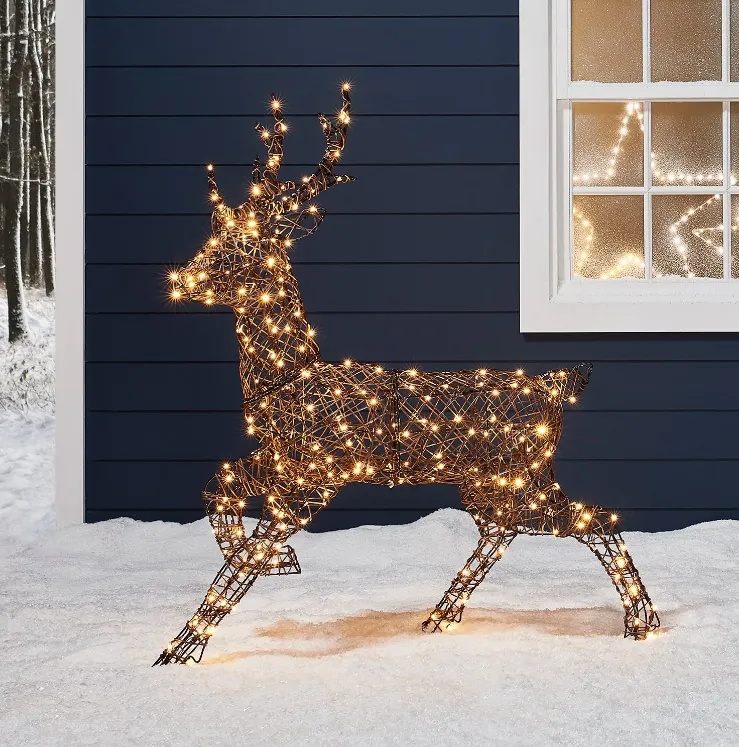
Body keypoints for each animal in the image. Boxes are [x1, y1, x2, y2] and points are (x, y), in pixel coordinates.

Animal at [154, 85, 660, 665]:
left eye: (246, 249)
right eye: (214, 240)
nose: (181, 280)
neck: (289, 376)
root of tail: (559, 385)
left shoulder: (313, 477)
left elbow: (243, 560)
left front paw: (179, 650)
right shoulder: (278, 462)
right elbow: (217, 488)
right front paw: (279, 560)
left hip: (524, 475)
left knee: (593, 517)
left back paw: (640, 623)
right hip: (492, 482)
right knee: (507, 530)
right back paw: (439, 617)